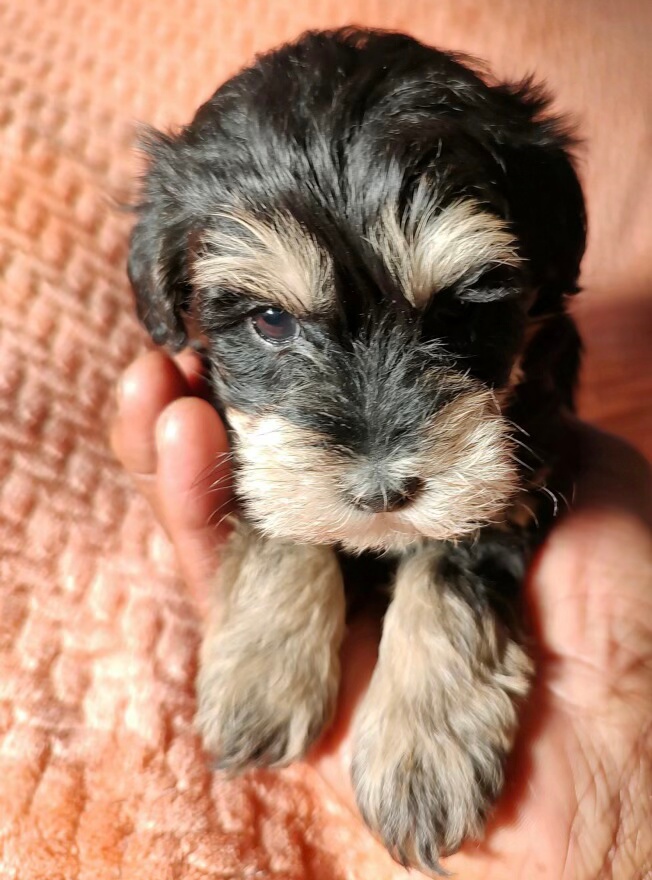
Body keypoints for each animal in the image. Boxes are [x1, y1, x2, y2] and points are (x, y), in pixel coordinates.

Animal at [127, 27, 586, 873]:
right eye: (270, 321)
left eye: (461, 309)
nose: (380, 493)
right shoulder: (252, 441)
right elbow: (283, 521)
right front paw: (262, 677)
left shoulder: (517, 459)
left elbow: (451, 571)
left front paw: (424, 747)